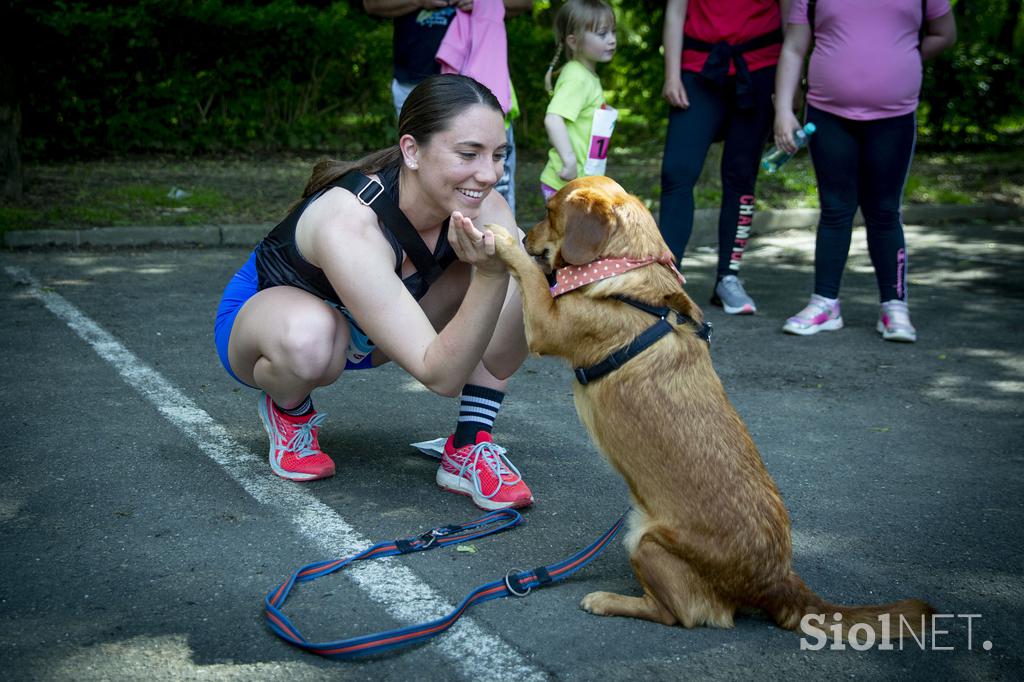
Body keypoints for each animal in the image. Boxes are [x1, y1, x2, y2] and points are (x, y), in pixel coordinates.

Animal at [487, 175, 937, 638]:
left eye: (549, 211)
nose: (526, 236)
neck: (626, 272)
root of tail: (779, 581)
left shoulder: (546, 324)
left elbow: (531, 276)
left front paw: (502, 239)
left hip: (642, 537)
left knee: (678, 614)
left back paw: (609, 600)